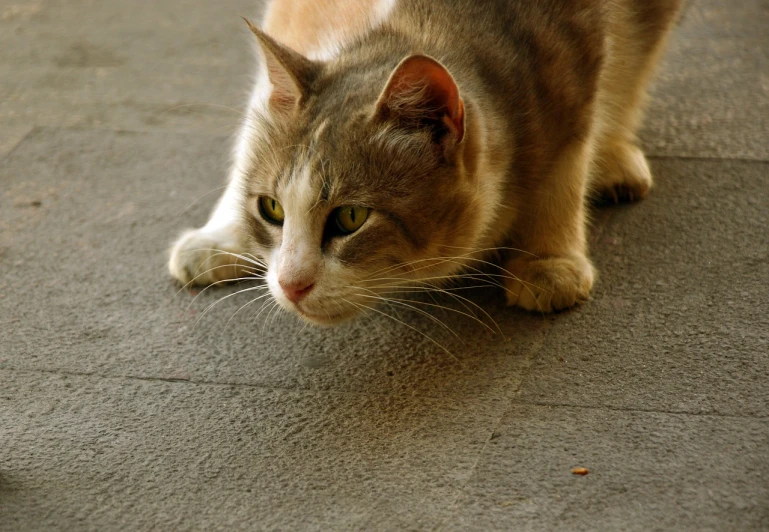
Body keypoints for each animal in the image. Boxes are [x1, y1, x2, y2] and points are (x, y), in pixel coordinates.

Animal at [166, 0, 680, 324]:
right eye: (271, 208)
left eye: (350, 218)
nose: (291, 286)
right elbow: (253, 125)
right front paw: (220, 235)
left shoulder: (573, 59)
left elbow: (566, 161)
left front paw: (548, 261)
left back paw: (612, 158)